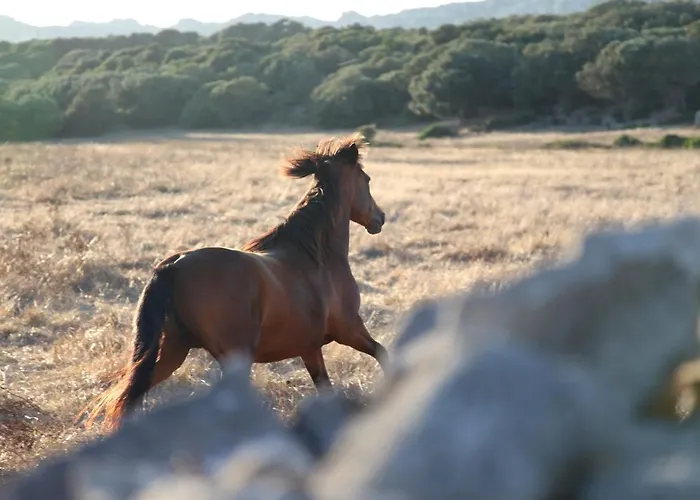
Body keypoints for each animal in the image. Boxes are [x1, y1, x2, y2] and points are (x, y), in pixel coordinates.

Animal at [81, 134, 389, 432]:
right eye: (367, 179)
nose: (380, 218)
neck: (317, 255)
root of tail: (175, 265)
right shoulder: (349, 328)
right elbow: (382, 352)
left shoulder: (310, 348)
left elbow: (325, 388)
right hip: (232, 356)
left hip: (171, 351)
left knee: (130, 394)